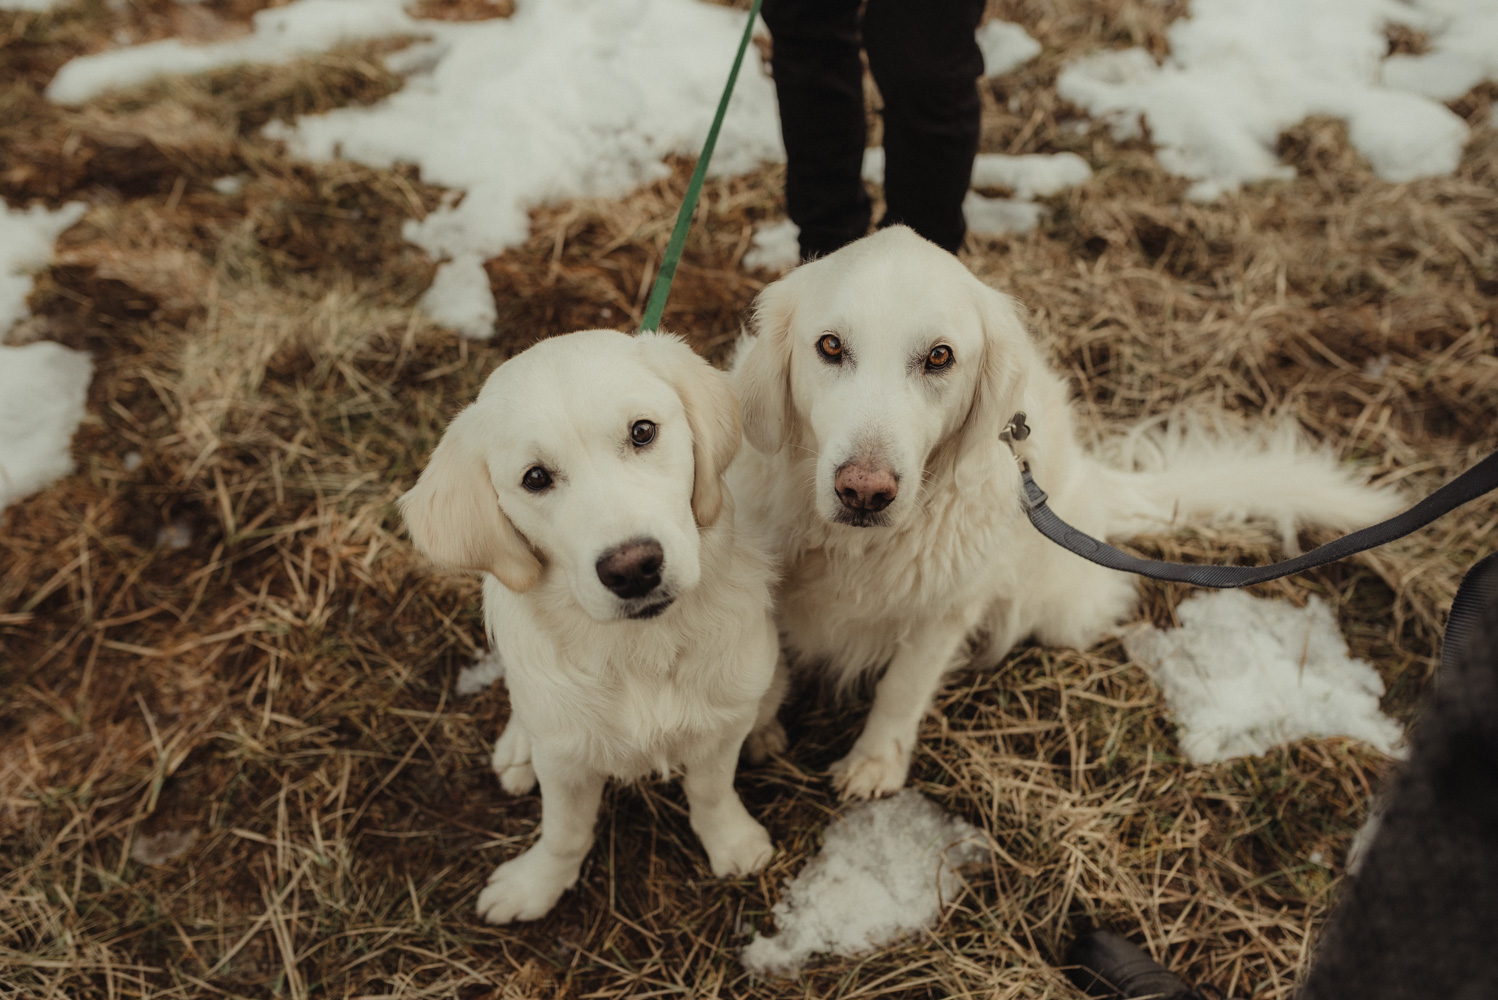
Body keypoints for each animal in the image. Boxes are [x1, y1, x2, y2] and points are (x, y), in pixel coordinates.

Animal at [404, 332, 778, 928]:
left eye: (642, 432)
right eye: (535, 478)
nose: (633, 568)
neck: (636, 649)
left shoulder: (723, 725)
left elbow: (711, 791)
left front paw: (733, 843)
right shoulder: (564, 759)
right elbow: (564, 831)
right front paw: (536, 885)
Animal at [728, 223, 1402, 802]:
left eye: (940, 357)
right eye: (830, 346)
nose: (864, 493)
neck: (854, 547)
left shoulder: (949, 610)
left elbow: (903, 686)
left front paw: (875, 763)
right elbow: (765, 656)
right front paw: (758, 729)